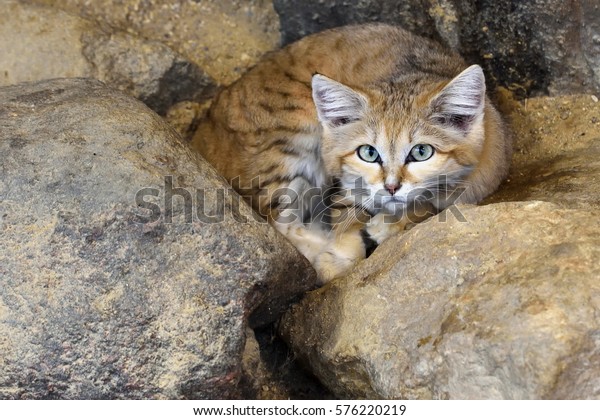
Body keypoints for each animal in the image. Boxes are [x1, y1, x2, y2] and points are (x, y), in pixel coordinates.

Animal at [192, 23, 510, 286]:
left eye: (421, 152)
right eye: (368, 153)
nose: (391, 187)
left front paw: (392, 222)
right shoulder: (346, 183)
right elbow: (345, 220)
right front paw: (344, 252)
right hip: (291, 143)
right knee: (281, 226)